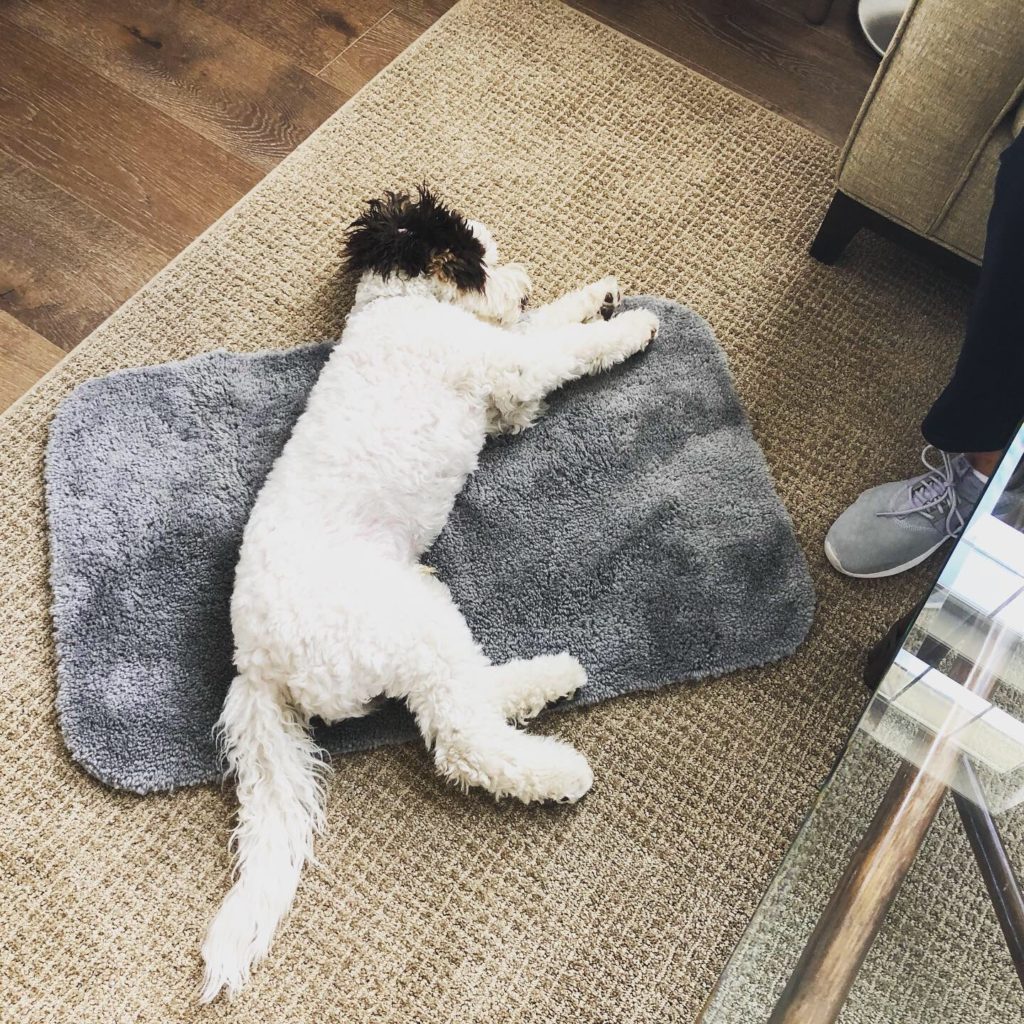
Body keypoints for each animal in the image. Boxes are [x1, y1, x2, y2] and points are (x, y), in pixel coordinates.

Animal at [201, 186, 655, 999]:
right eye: (481, 259)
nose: (522, 283)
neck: (399, 305)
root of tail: (256, 667)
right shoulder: (509, 369)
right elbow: (561, 349)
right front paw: (628, 324)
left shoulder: (505, 387)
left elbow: (551, 326)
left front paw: (595, 296)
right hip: (407, 621)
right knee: (462, 738)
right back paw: (557, 764)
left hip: (419, 611)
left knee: (465, 696)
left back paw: (547, 679)